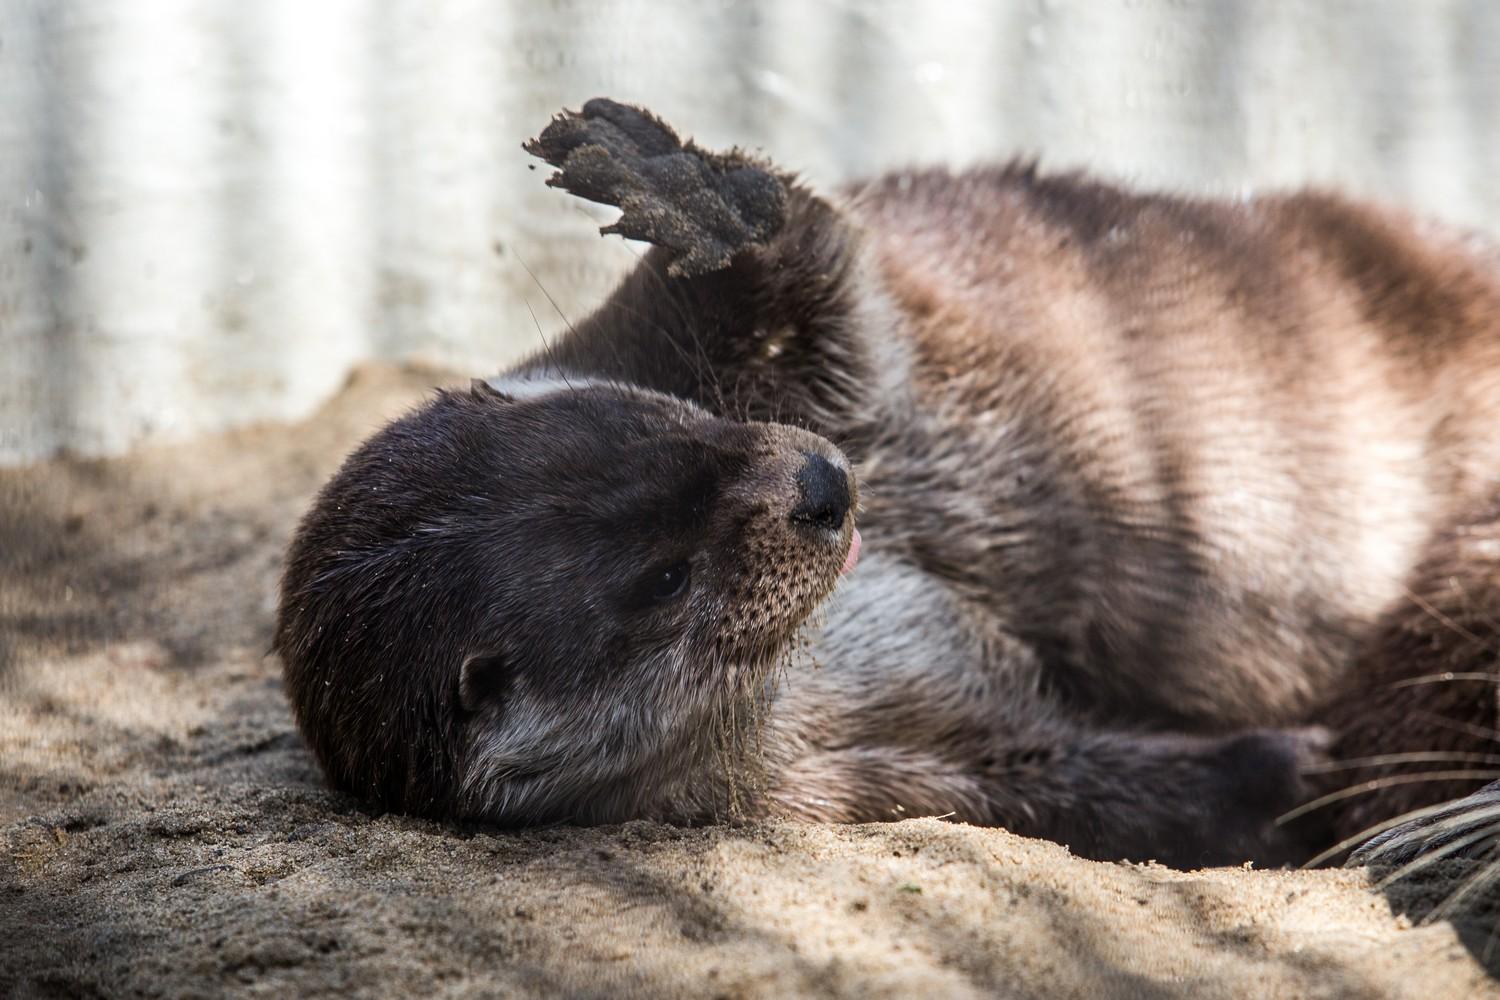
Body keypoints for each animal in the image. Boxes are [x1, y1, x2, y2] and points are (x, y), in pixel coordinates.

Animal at [276, 97, 1500, 869]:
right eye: (665, 577)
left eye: (668, 420)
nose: (823, 484)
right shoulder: (855, 771)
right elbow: (1063, 779)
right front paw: (1289, 775)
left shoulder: (729, 360)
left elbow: (835, 302)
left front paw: (696, 199)